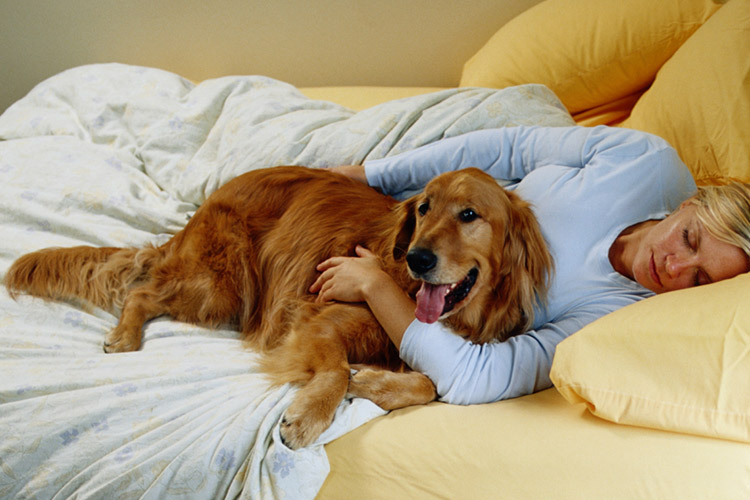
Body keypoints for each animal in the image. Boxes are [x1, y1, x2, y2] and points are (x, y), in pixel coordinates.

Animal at [4, 166, 552, 448]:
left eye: (469, 215)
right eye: (422, 209)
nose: (417, 257)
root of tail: (200, 210)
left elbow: (430, 383)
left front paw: (372, 382)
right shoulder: (316, 321)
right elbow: (335, 370)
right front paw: (311, 415)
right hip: (220, 285)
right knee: (142, 293)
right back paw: (124, 335)